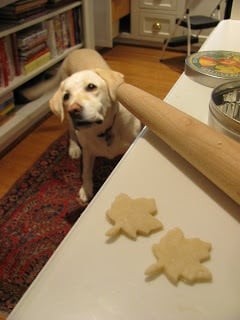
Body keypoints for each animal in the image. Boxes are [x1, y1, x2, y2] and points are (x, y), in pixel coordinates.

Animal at [23, 48, 141, 201]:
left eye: (91, 86)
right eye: (66, 96)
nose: (73, 110)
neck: (103, 130)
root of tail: (76, 50)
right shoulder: (88, 152)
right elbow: (86, 171)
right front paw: (86, 189)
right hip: (68, 120)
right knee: (71, 132)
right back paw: (74, 148)